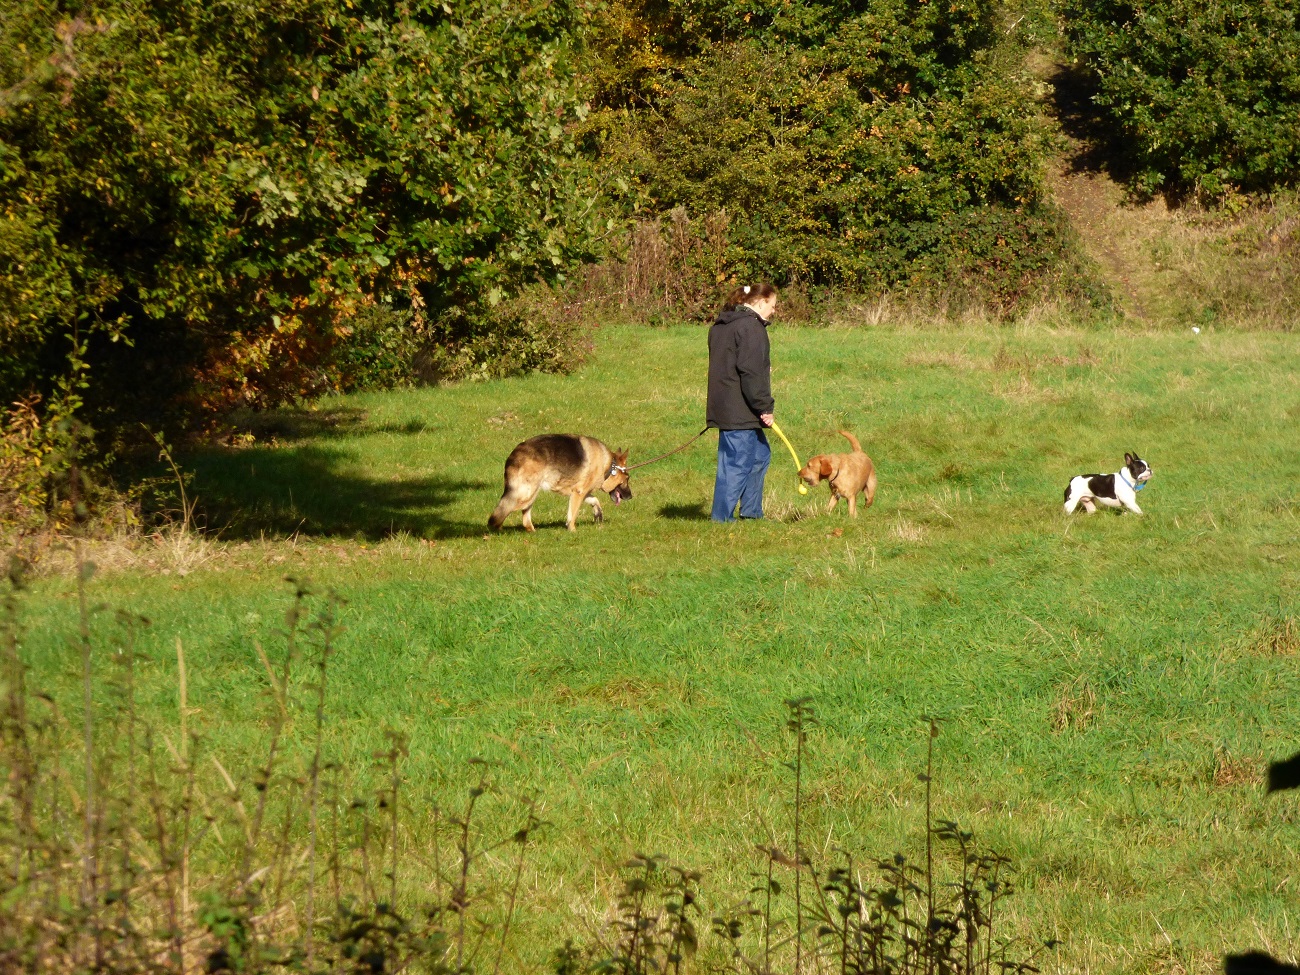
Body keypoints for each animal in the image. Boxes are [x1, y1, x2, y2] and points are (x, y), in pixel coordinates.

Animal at [488, 436, 629, 535]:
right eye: (627, 478)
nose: (630, 496)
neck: (610, 465)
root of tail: (513, 456)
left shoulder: (579, 492)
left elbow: (594, 500)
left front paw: (597, 512)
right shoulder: (579, 492)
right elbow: (572, 515)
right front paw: (572, 530)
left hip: (530, 495)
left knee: (524, 519)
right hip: (525, 496)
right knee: (501, 511)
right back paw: (495, 530)